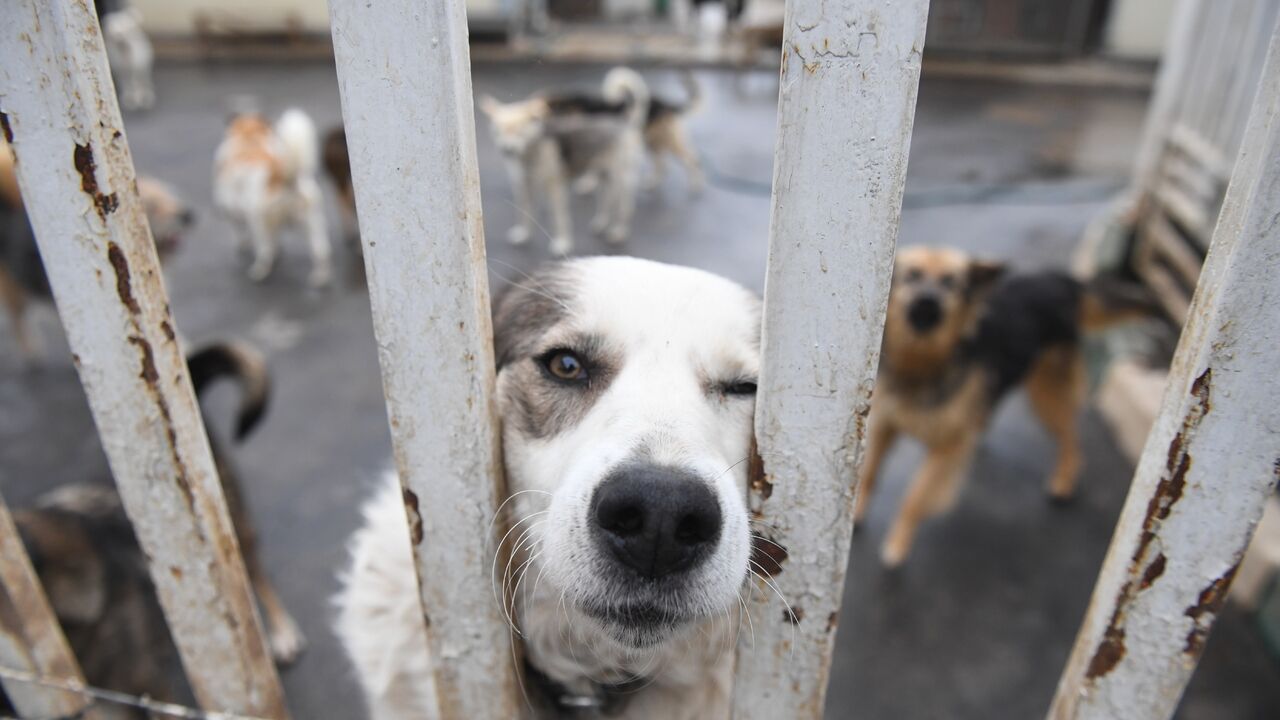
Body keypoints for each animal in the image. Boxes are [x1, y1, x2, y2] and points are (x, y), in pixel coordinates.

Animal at [212, 106, 330, 285]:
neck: (250, 140)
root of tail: (282, 177)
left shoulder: (233, 214)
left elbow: (240, 234)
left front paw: (242, 247)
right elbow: (276, 239)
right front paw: (279, 250)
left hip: (258, 223)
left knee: (264, 251)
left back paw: (259, 272)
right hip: (312, 222)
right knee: (320, 250)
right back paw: (320, 278)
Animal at [860, 245, 1152, 566]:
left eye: (951, 283)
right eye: (912, 275)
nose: (928, 301)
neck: (922, 361)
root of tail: (1063, 281)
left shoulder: (947, 448)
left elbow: (915, 497)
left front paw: (898, 542)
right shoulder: (884, 424)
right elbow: (869, 472)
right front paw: (856, 512)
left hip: (1047, 392)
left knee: (1069, 436)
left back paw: (1064, 479)